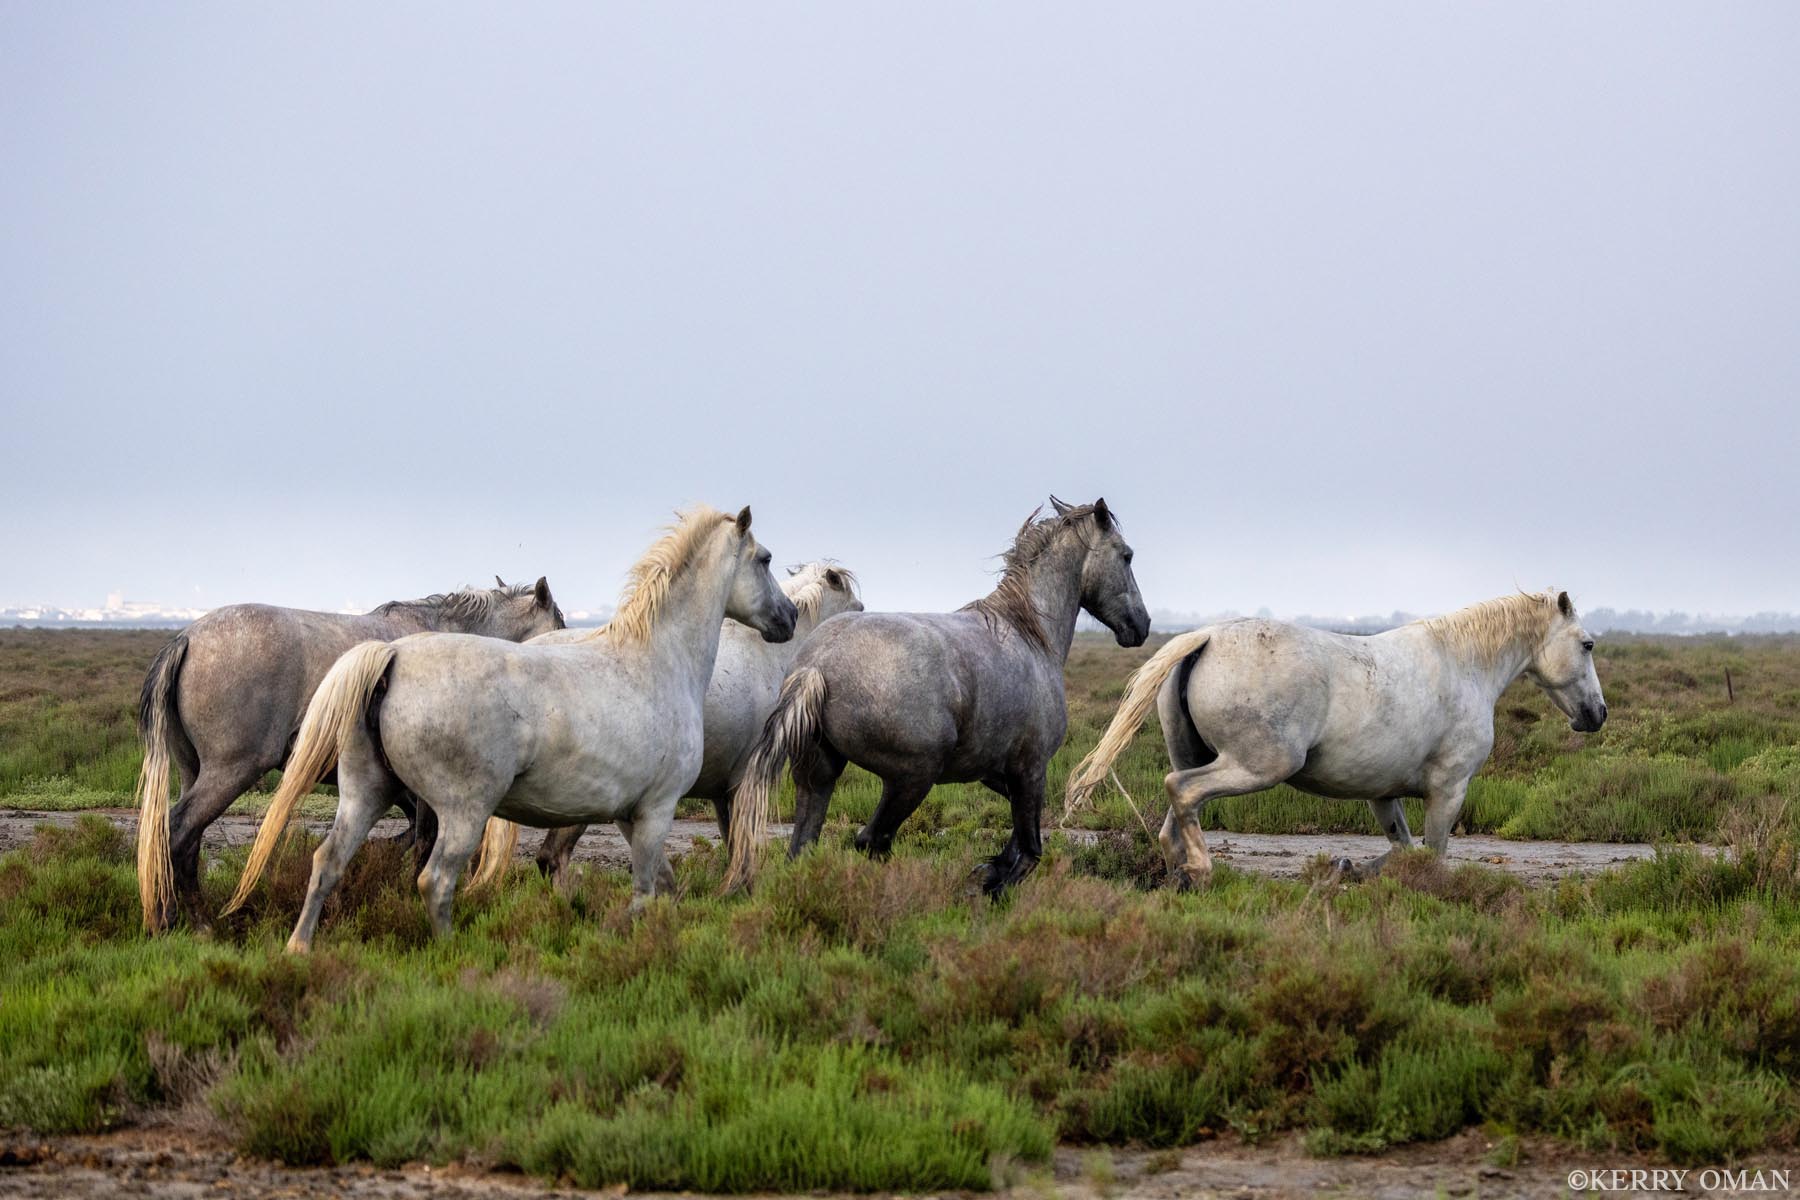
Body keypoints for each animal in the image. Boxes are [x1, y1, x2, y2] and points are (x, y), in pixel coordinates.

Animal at [133, 577, 564, 931]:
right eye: (561, 625)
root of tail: (189, 636)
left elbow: (410, 835)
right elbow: (423, 838)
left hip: (196, 772)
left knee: (184, 840)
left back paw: (183, 919)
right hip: (230, 772)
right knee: (177, 832)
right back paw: (184, 923)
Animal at [225, 507, 796, 951]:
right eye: (765, 559)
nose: (788, 618)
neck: (657, 661)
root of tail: (392, 657)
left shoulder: (629, 815)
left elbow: (664, 889)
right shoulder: (657, 810)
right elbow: (643, 893)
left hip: (365, 794)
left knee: (328, 862)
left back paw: (298, 950)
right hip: (463, 812)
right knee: (435, 881)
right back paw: (453, 955)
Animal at [472, 561, 865, 888]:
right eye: (855, 605)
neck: (763, 653)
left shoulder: (723, 790)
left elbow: (731, 843)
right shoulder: (743, 782)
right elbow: (742, 848)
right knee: (552, 858)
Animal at [724, 498, 1150, 897]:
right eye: (1126, 555)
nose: (1141, 625)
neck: (1029, 634)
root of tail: (818, 664)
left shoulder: (996, 771)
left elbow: (1018, 838)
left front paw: (990, 870)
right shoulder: (1031, 768)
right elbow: (1029, 850)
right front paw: (992, 883)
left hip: (819, 775)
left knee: (803, 847)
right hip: (911, 779)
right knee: (872, 840)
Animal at [1063, 589, 1608, 884]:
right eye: (1587, 644)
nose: (1597, 714)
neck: (1464, 666)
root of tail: (1208, 637)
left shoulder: (1384, 795)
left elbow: (1402, 849)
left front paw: (1349, 869)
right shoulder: (1449, 790)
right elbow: (1430, 855)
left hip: (1193, 752)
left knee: (1173, 815)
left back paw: (1179, 871)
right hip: (1257, 766)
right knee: (1183, 790)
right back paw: (1200, 869)